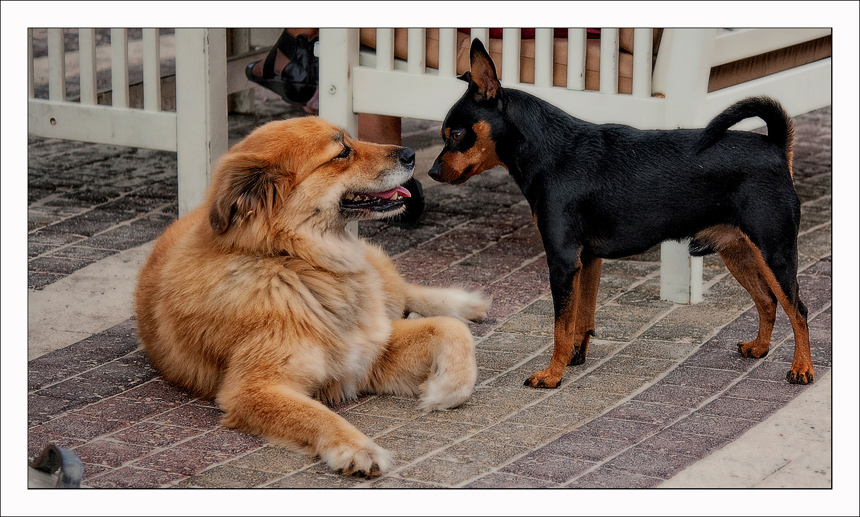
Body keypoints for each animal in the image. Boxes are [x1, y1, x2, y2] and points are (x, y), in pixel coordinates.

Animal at [133, 117, 490, 476]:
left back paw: (466, 304)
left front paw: (444, 390)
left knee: (404, 293)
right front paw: (356, 448)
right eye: (342, 152)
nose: (411, 154)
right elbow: (317, 414)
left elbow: (451, 329)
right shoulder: (254, 388)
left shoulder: (371, 350)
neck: (294, 261)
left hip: (380, 280)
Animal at [430, 39, 812, 388]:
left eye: (457, 135)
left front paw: (552, 375)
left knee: (798, 309)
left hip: (774, 252)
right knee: (767, 300)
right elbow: (581, 318)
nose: (432, 172)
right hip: (738, 250)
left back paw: (802, 369)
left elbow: (560, 325)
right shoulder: (587, 260)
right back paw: (760, 348)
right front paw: (574, 358)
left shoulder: (563, 261)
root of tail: (775, 146)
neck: (551, 151)